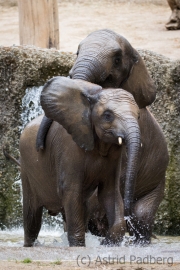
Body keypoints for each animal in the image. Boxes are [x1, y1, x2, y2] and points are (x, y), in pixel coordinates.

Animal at [19, 76, 169, 247]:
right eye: (108, 115)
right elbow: (70, 190)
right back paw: (29, 245)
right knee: (32, 217)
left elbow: (110, 192)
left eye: (138, 116)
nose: (129, 213)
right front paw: (79, 246)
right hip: (26, 169)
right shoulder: (68, 146)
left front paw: (107, 243)